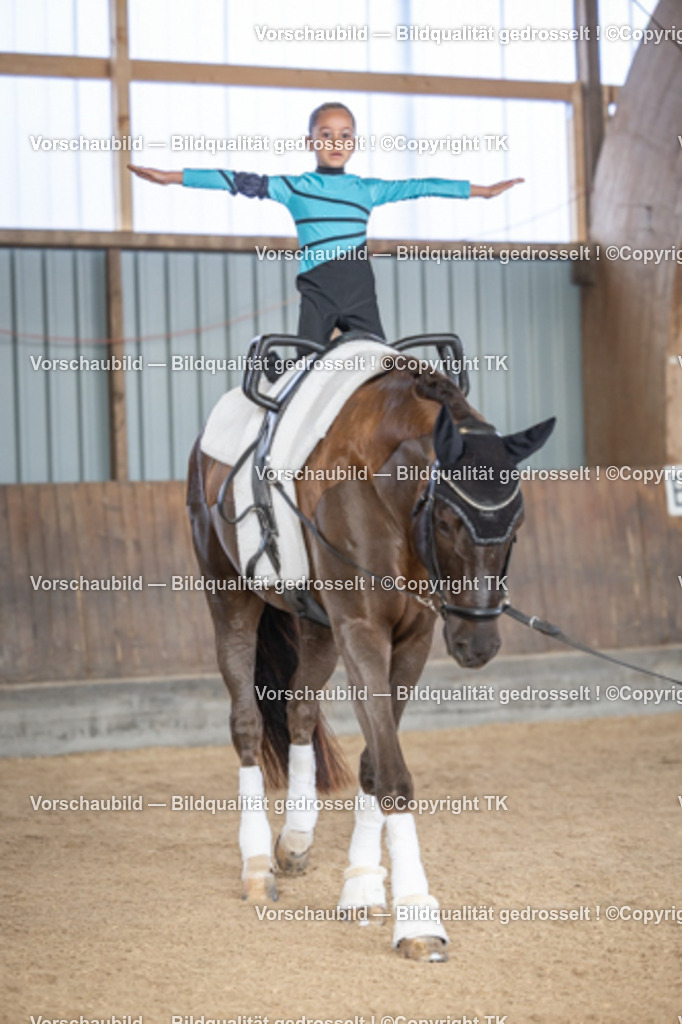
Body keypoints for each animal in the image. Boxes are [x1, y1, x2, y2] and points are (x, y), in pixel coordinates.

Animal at [187, 359, 554, 962]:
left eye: (517, 525)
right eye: (447, 522)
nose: (478, 645)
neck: (388, 493)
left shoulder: (413, 639)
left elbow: (374, 763)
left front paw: (360, 885)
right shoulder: (362, 631)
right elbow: (395, 775)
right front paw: (417, 918)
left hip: (317, 625)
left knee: (300, 710)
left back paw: (295, 838)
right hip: (229, 595)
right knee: (246, 723)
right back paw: (257, 865)